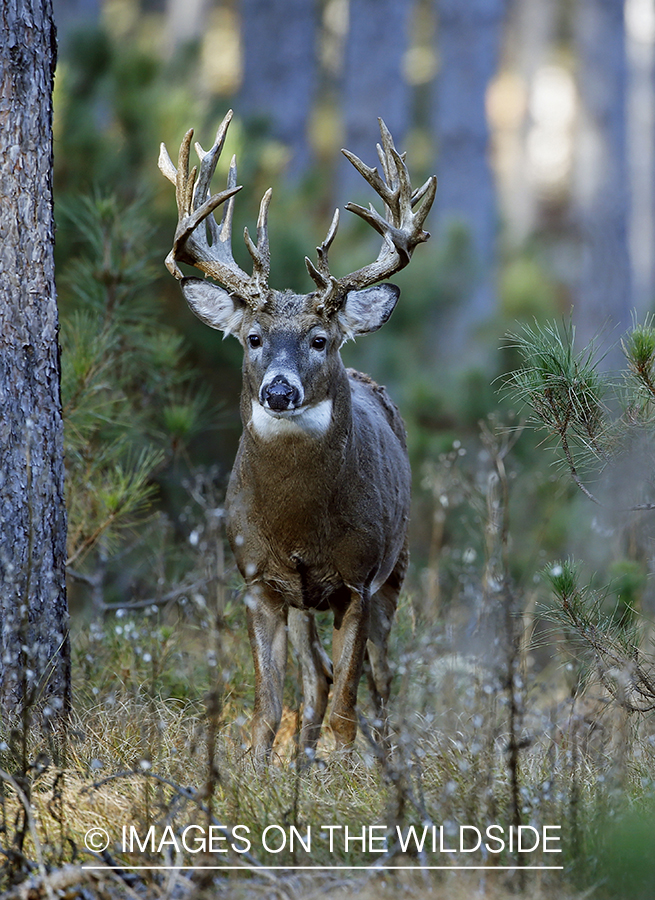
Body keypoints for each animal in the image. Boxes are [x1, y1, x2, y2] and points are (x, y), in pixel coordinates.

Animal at [159, 109, 436, 764]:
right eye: (253, 338)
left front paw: (343, 765)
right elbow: (268, 701)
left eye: (320, 338)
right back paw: (302, 754)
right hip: (309, 600)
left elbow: (349, 704)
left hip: (398, 564)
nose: (279, 391)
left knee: (379, 681)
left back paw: (381, 755)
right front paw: (258, 766)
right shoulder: (256, 578)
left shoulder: (360, 576)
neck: (298, 524)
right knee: (315, 679)